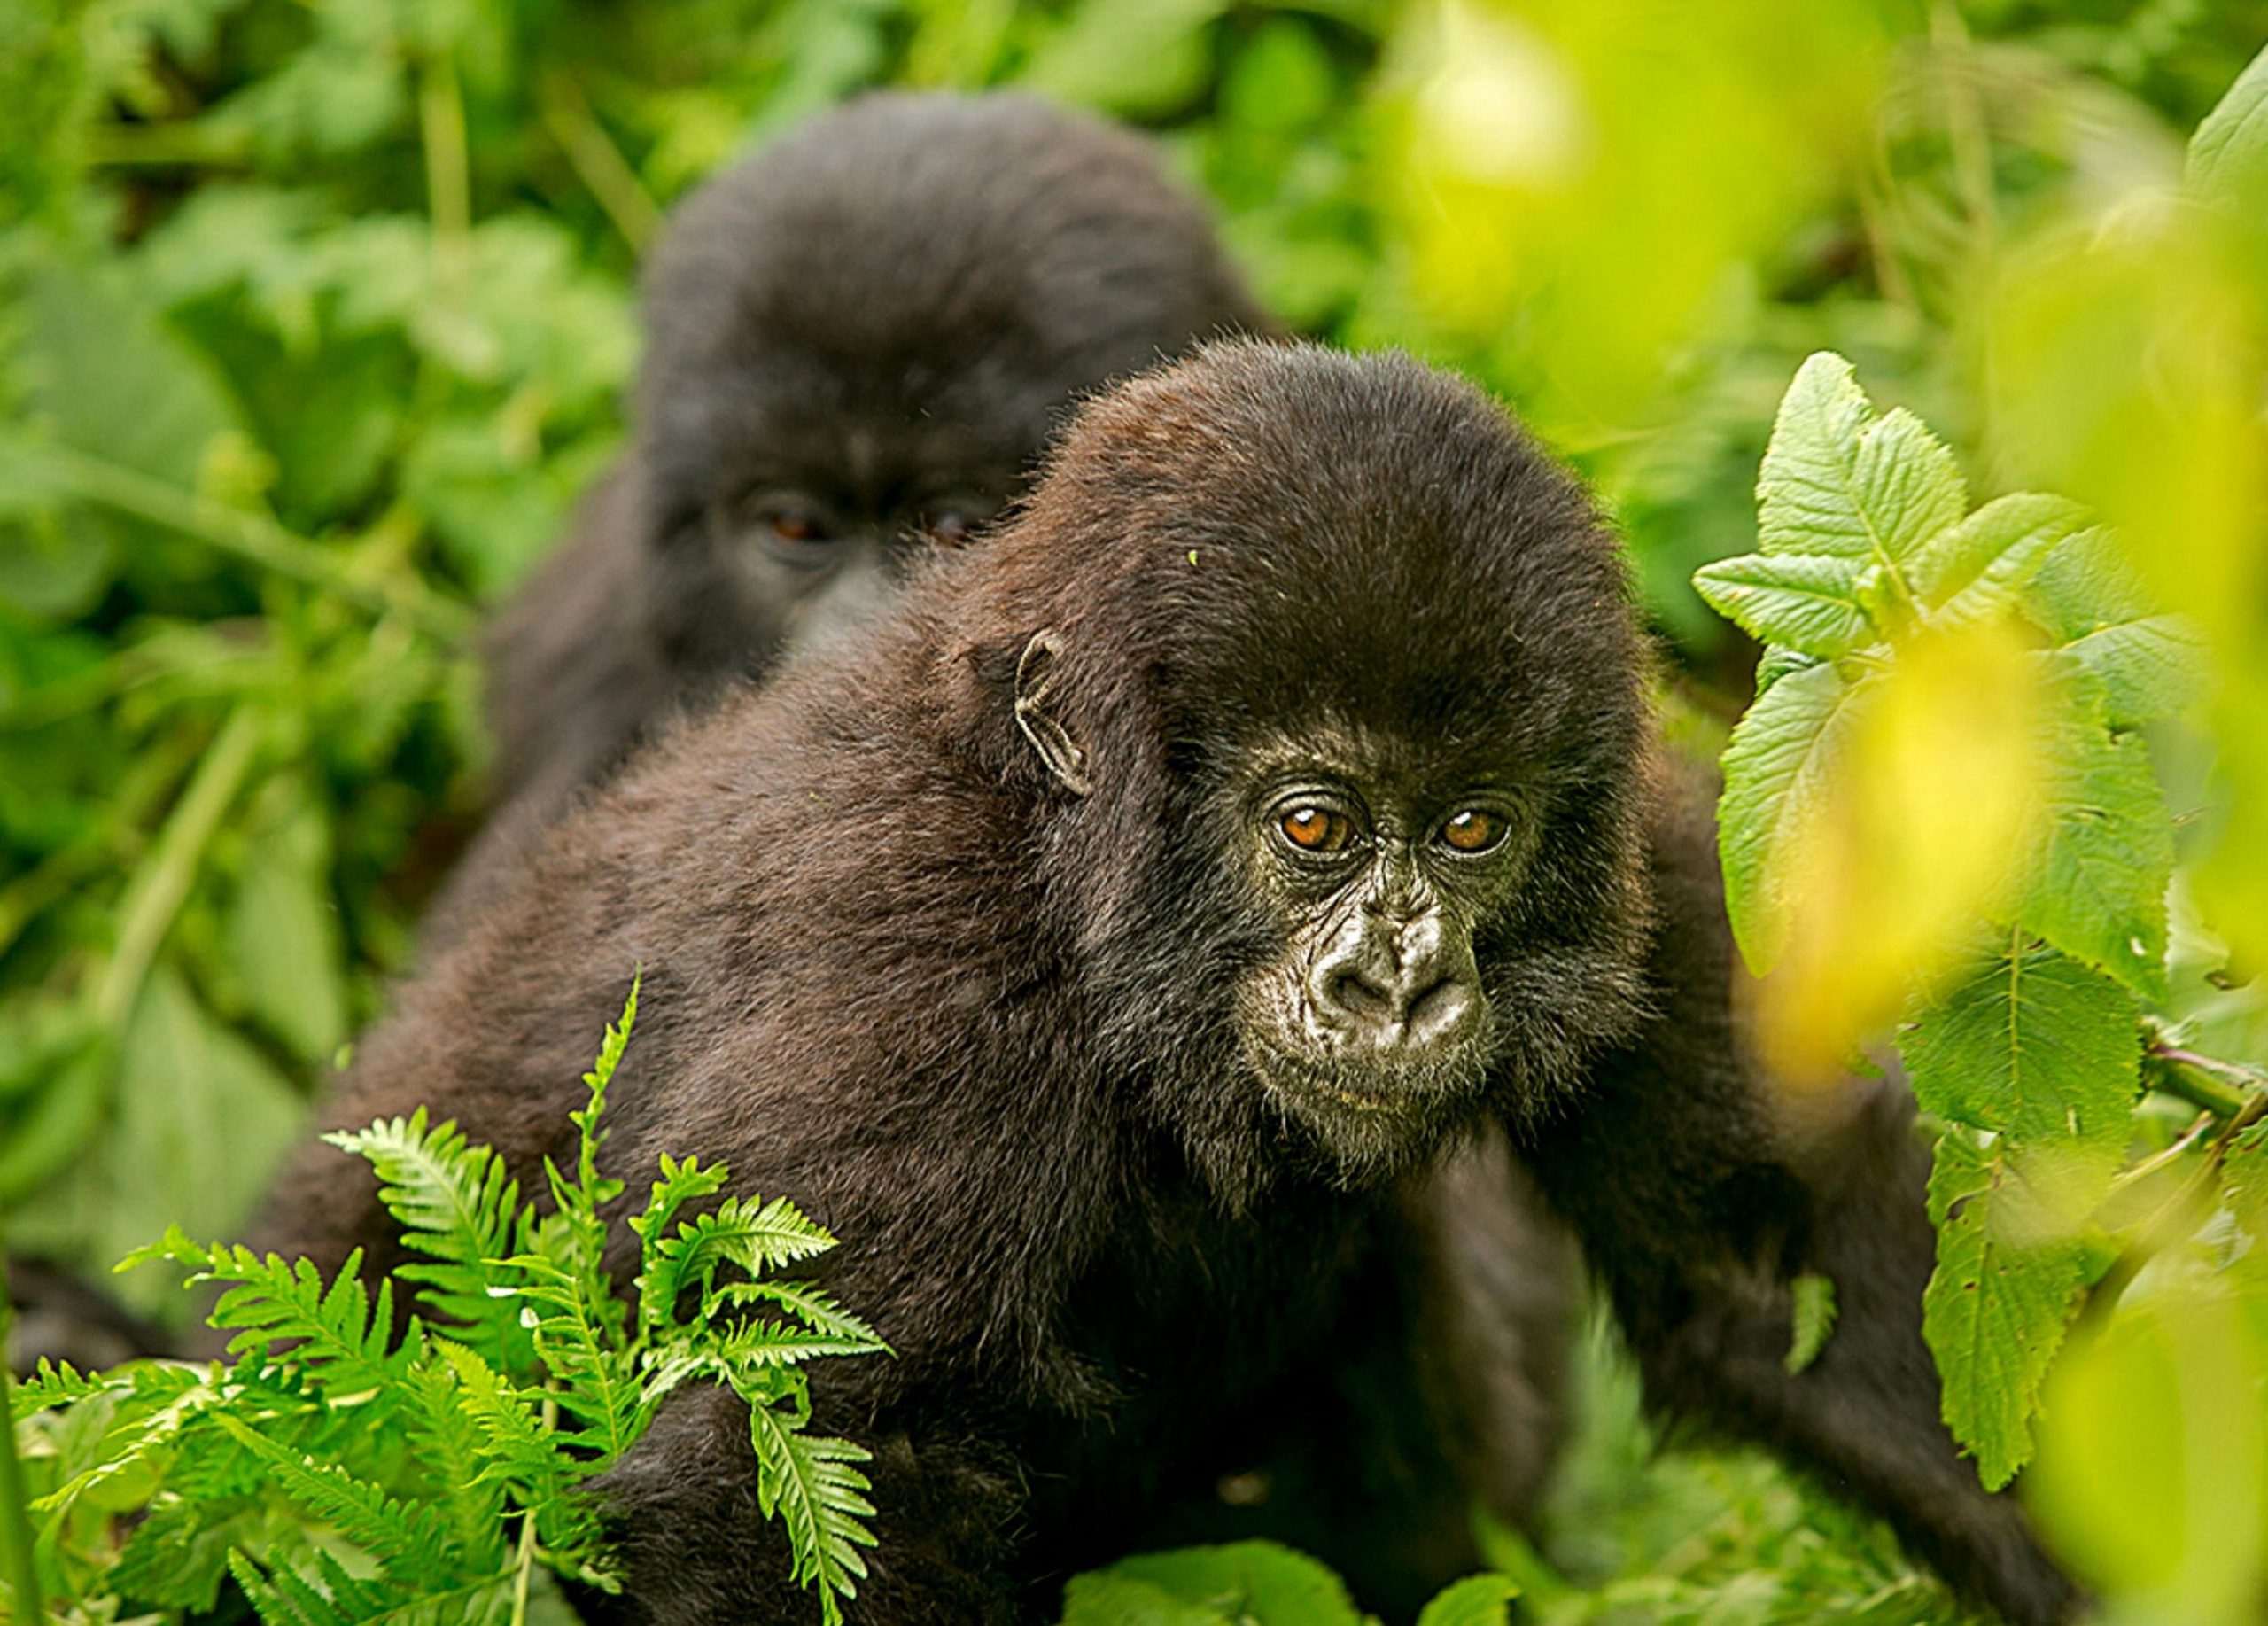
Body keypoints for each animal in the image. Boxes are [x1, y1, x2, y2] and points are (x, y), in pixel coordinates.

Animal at [257, 335, 2077, 1614]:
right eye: (1314, 824)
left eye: (1473, 827)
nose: (1397, 988)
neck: (1067, 870)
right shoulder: (901, 965)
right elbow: (789, 1476)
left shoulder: (1649, 851)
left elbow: (1784, 1273)